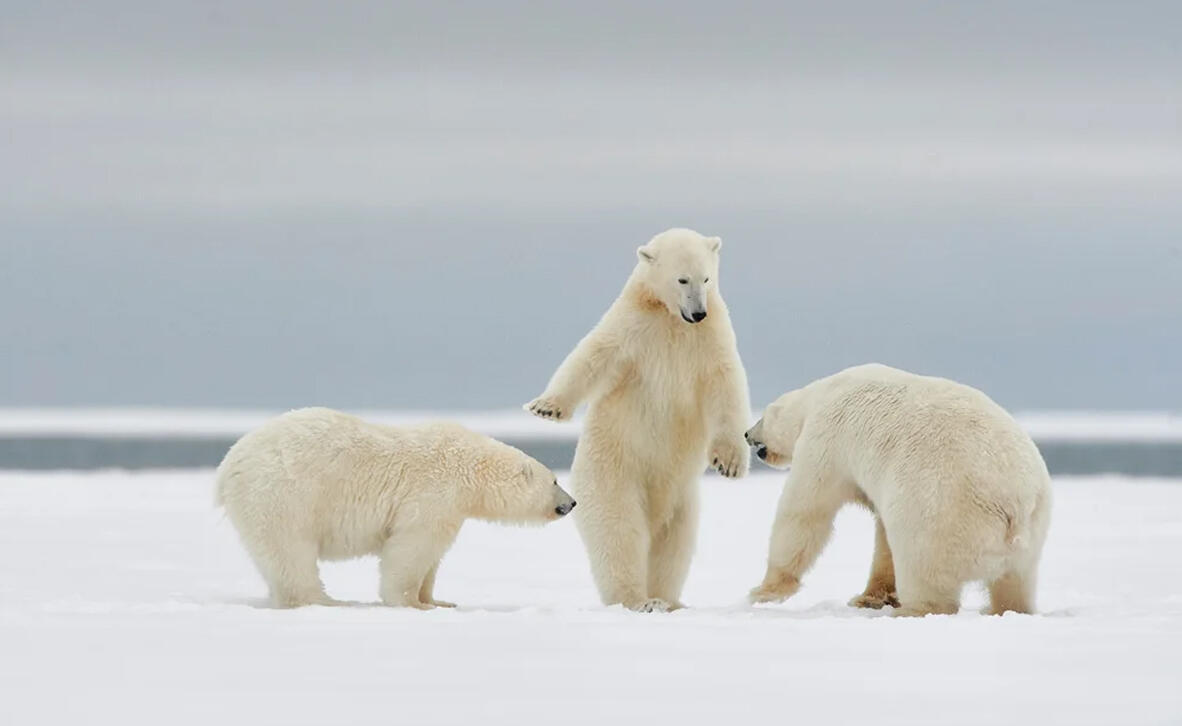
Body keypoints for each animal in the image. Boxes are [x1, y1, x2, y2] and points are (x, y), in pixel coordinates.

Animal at [219, 409, 579, 610]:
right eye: (555, 480)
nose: (572, 503)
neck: (469, 467)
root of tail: (228, 467)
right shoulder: (433, 493)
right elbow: (411, 548)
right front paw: (412, 603)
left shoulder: (453, 507)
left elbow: (433, 557)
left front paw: (438, 600)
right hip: (283, 494)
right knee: (291, 553)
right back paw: (327, 600)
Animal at [531, 227, 751, 614]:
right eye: (682, 278)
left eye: (706, 278)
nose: (698, 312)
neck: (671, 320)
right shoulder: (633, 328)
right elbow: (593, 355)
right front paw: (547, 407)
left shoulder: (711, 339)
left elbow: (726, 388)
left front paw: (729, 463)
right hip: (614, 473)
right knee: (620, 532)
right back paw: (638, 599)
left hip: (683, 498)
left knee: (674, 543)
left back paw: (669, 600)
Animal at [747, 366, 1054, 619]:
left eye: (762, 418)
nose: (747, 434)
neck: (824, 392)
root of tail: (1014, 504)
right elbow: (882, 536)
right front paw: (870, 597)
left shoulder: (825, 439)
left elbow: (805, 510)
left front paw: (763, 591)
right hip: (1033, 532)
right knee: (1016, 582)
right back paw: (1005, 609)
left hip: (940, 511)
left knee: (923, 568)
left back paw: (911, 610)